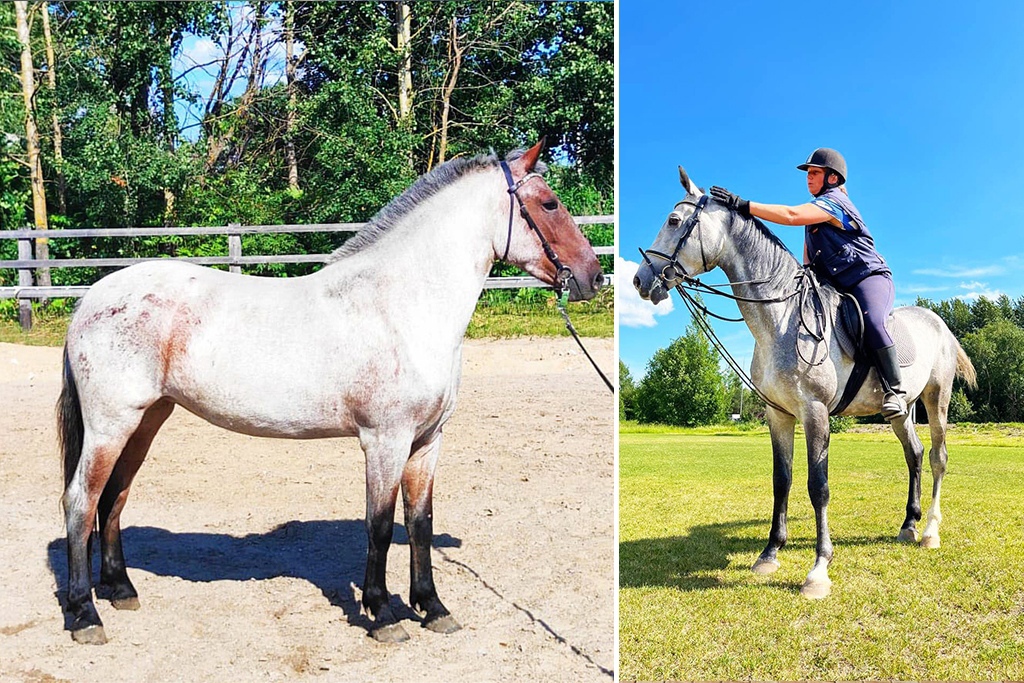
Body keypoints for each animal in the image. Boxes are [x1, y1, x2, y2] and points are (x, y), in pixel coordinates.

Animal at [56, 140, 602, 647]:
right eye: (549, 203)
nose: (593, 276)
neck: (401, 305)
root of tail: (93, 299)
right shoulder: (385, 441)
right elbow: (379, 525)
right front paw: (382, 614)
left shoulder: (427, 442)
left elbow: (419, 522)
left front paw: (432, 608)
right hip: (111, 425)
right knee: (81, 500)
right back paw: (86, 614)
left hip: (147, 420)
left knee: (114, 496)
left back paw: (121, 589)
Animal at [630, 167, 974, 602]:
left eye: (674, 222)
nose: (640, 280)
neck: (781, 319)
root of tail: (939, 322)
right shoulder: (778, 415)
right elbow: (783, 480)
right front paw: (769, 553)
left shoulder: (815, 413)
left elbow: (818, 486)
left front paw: (819, 569)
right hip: (901, 410)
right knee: (913, 454)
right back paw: (908, 525)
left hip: (936, 398)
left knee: (937, 458)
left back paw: (929, 531)